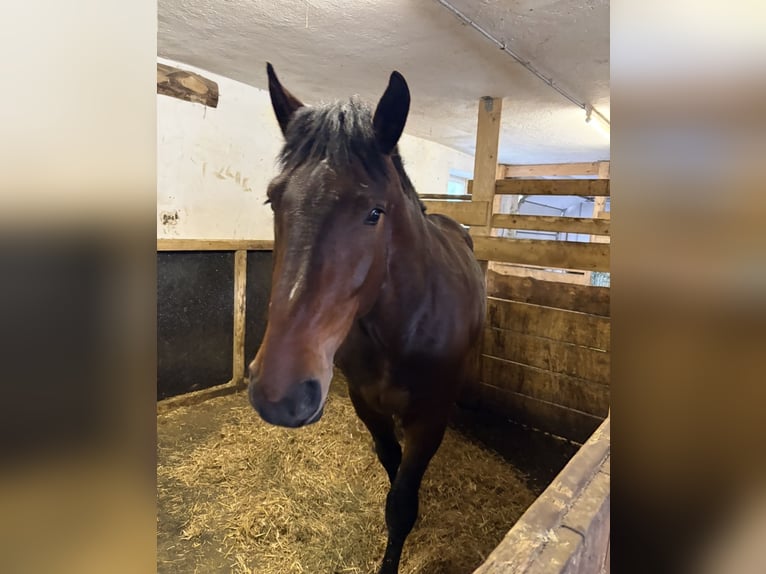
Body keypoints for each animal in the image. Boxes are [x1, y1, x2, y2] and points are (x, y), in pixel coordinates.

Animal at [247, 63, 486, 574]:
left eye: (375, 212)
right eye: (274, 200)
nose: (278, 394)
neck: (403, 328)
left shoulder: (429, 419)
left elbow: (402, 503)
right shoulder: (367, 405)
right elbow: (394, 473)